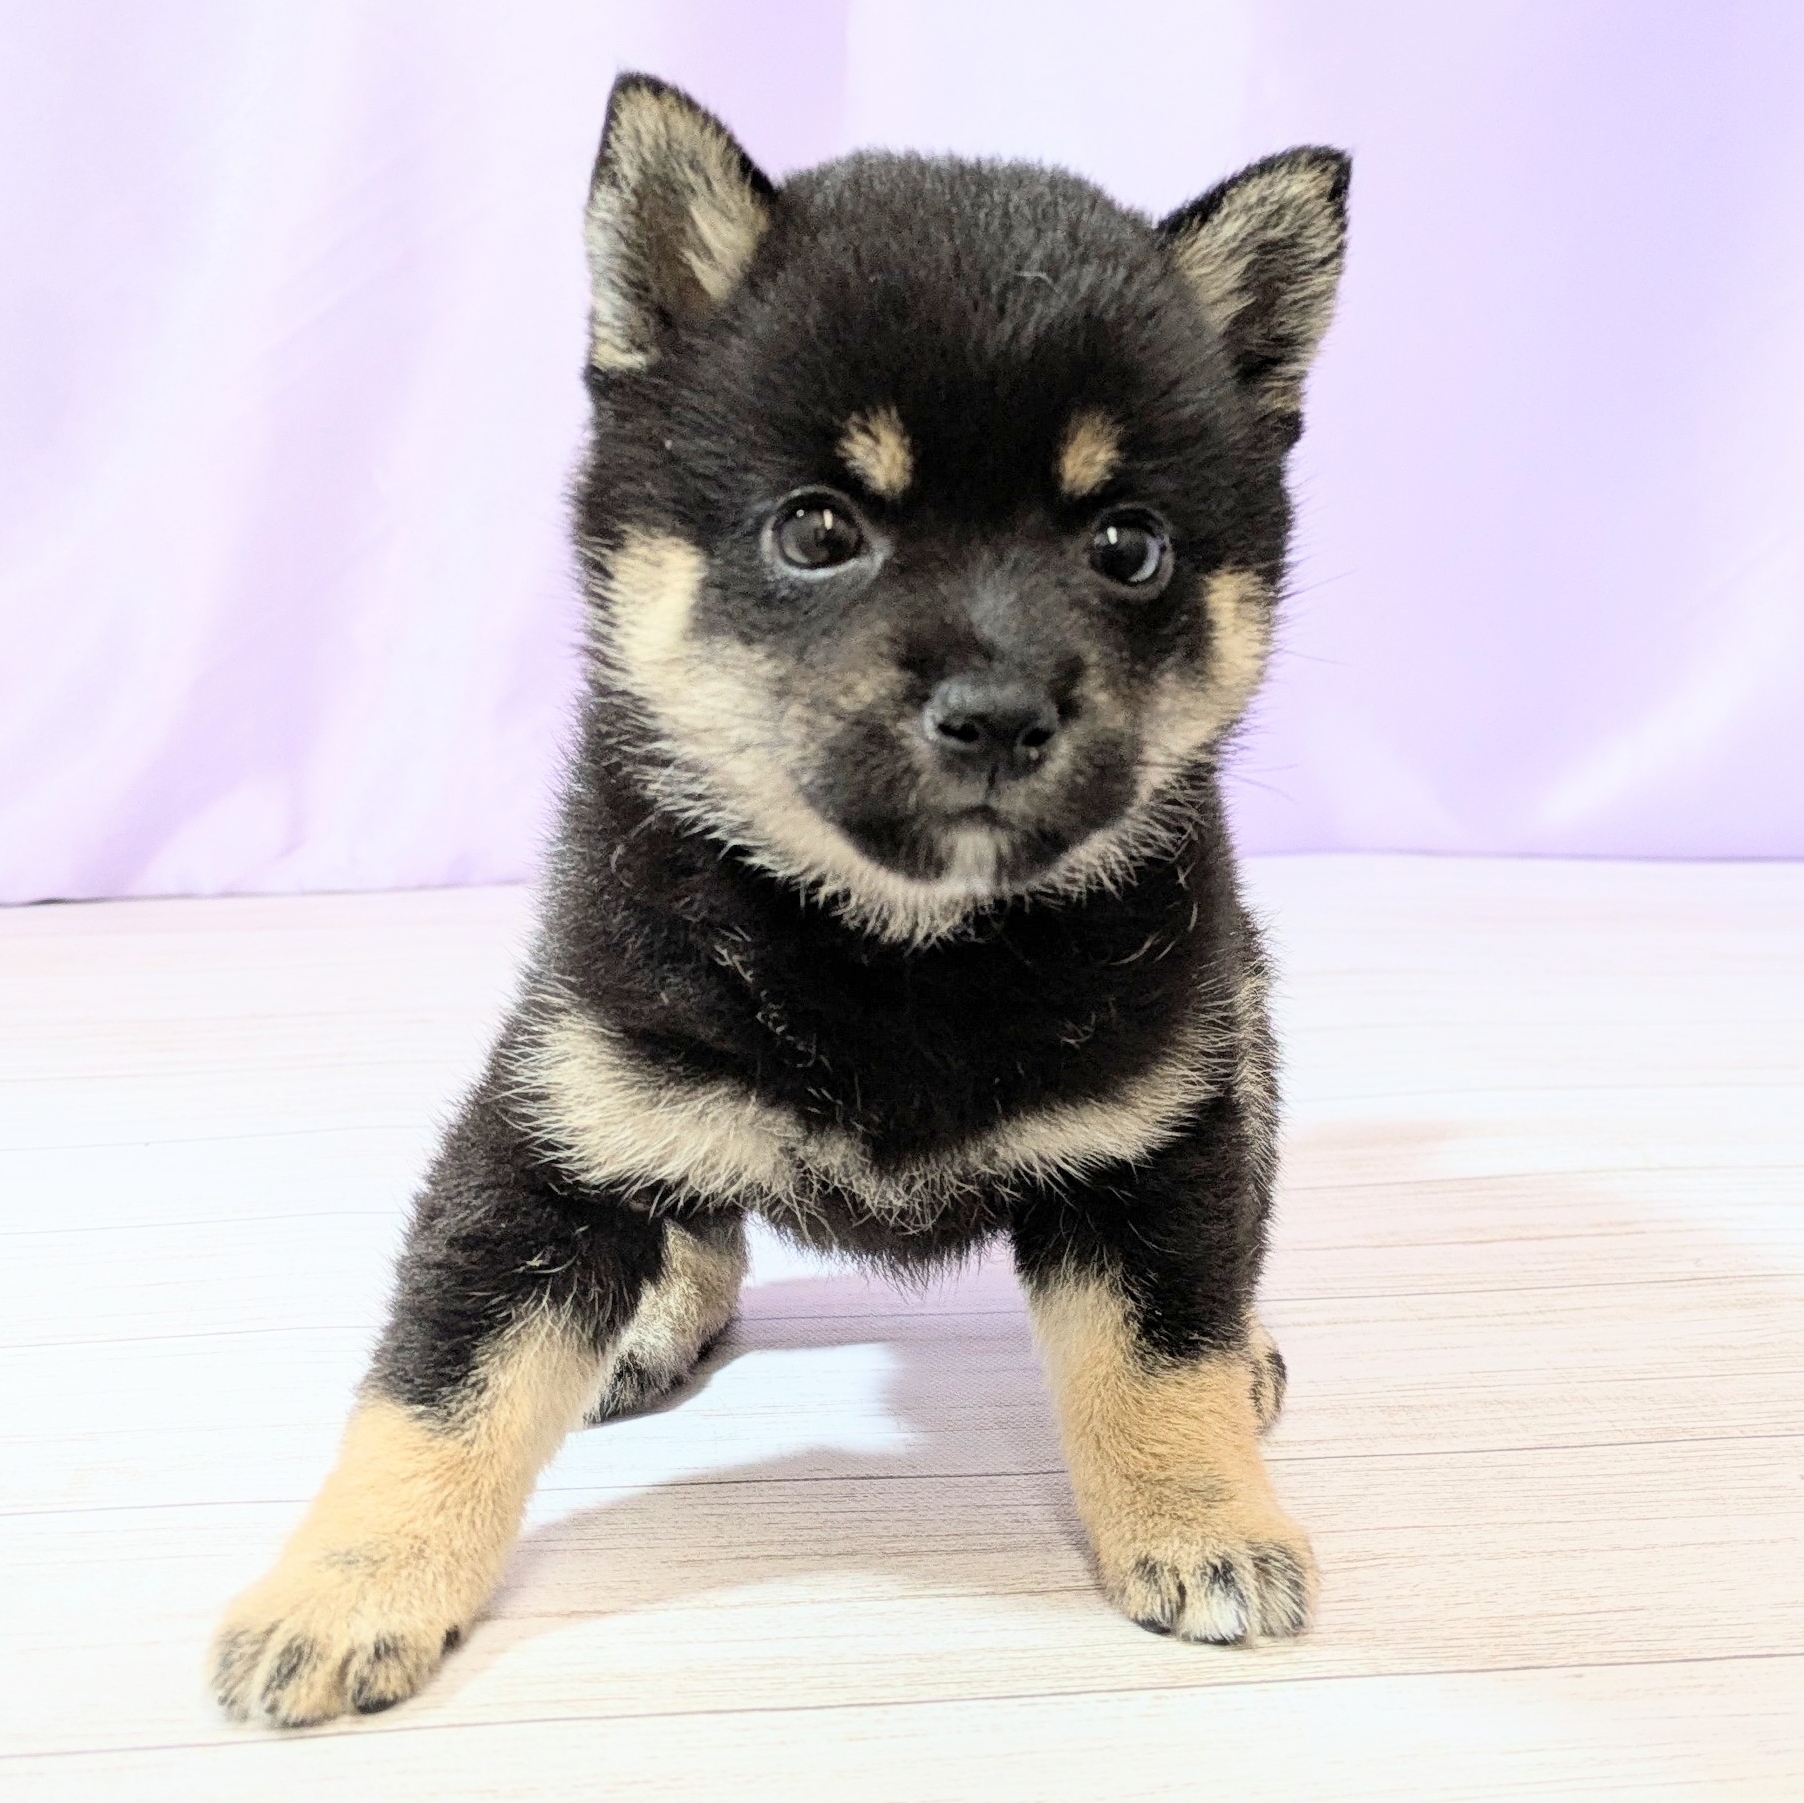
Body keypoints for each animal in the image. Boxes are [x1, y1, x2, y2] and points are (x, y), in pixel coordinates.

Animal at [212, 72, 1349, 1725]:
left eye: (1128, 544)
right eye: (819, 528)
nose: (999, 712)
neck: (900, 951)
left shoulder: (1164, 1124)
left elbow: (1164, 1346)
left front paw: (1204, 1514)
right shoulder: (555, 1111)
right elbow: (441, 1381)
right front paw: (341, 1586)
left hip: (1238, 1027)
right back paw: (655, 1311)